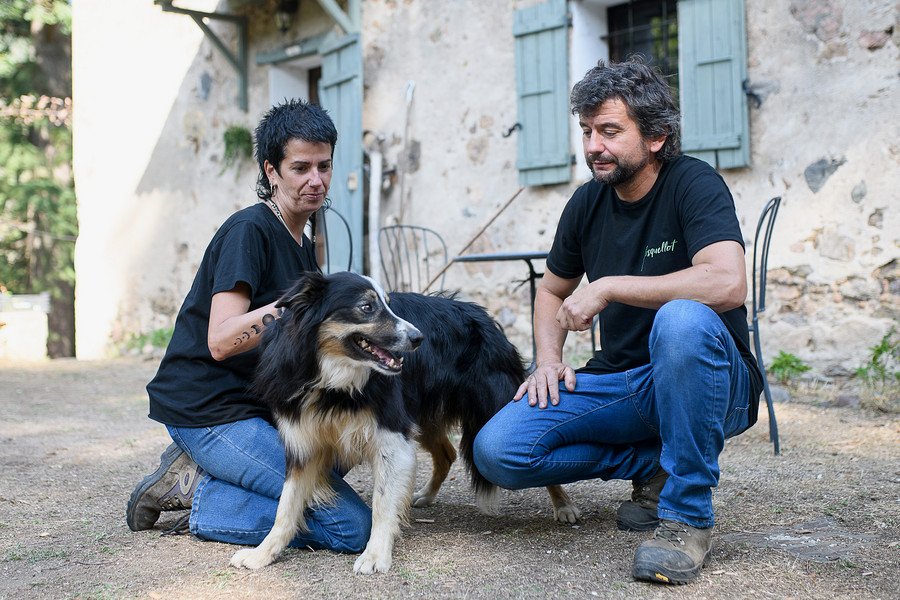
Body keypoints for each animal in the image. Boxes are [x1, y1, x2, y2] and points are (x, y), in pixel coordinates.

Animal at [230, 270, 576, 576]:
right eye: (366, 307)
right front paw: (262, 553)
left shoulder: (391, 437)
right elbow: (285, 507)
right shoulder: (303, 443)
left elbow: (383, 502)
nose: (418, 338)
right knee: (447, 454)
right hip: (419, 416)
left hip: (492, 405)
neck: (332, 380)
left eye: (388, 303)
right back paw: (425, 495)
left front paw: (375, 555)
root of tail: (483, 316)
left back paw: (563, 505)